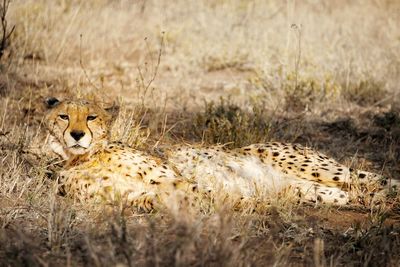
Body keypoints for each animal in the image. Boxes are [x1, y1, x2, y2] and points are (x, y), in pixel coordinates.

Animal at [43, 98, 396, 211]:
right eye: (64, 116)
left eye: (91, 117)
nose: (77, 134)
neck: (85, 158)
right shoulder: (136, 195)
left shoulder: (174, 178)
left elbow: (202, 191)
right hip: (310, 188)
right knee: (352, 193)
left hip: (317, 168)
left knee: (379, 180)